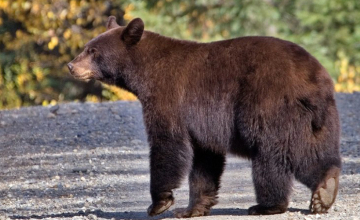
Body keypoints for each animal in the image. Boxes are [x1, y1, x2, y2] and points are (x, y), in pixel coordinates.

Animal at [67, 16, 340, 217]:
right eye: (86, 48)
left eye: (93, 51)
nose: (71, 65)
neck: (144, 72)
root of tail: (313, 79)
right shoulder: (203, 123)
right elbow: (205, 160)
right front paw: (193, 208)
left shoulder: (169, 97)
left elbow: (167, 144)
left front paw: (159, 203)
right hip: (319, 119)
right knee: (313, 151)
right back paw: (325, 190)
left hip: (268, 105)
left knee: (272, 154)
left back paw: (267, 205)